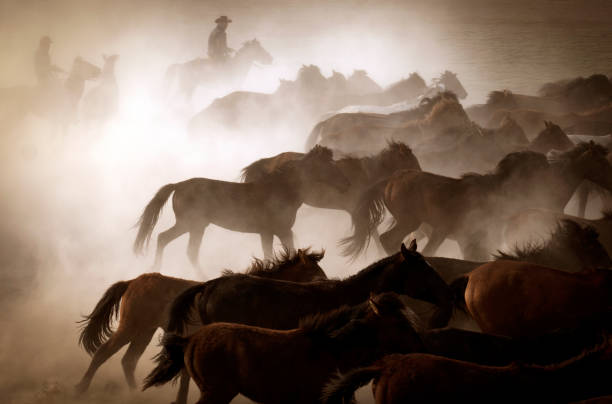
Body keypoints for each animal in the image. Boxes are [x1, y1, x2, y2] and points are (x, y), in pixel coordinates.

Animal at [75, 248, 326, 396]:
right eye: (314, 272)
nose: (327, 283)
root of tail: (132, 282)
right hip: (130, 326)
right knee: (102, 353)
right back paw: (81, 390)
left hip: (145, 331)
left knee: (129, 361)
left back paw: (135, 394)